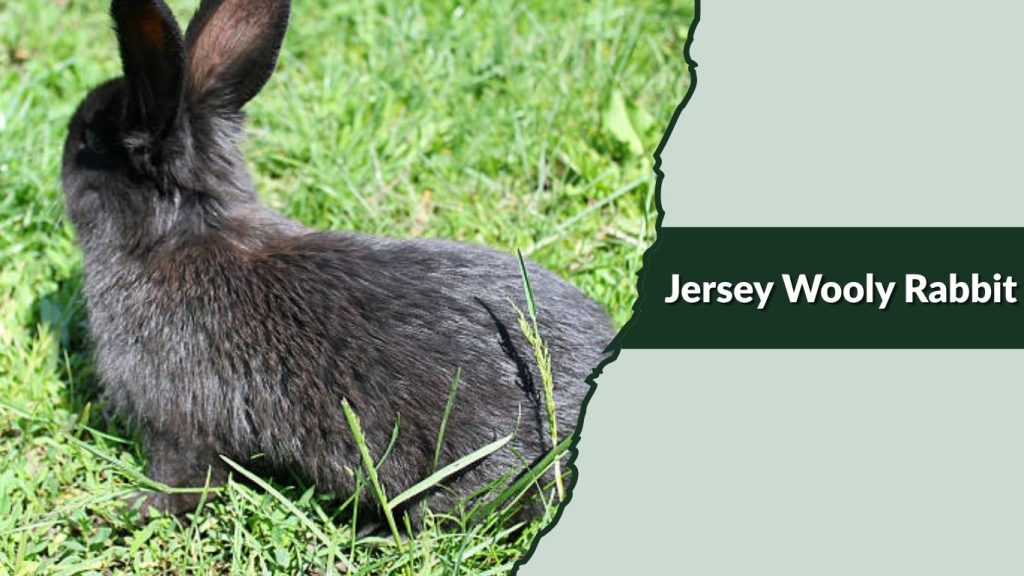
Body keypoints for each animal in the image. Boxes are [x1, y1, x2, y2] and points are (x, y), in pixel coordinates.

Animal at [61, 0, 614, 525]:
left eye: (90, 141)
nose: (67, 137)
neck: (178, 236)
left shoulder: (176, 424)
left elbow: (186, 480)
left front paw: (133, 508)